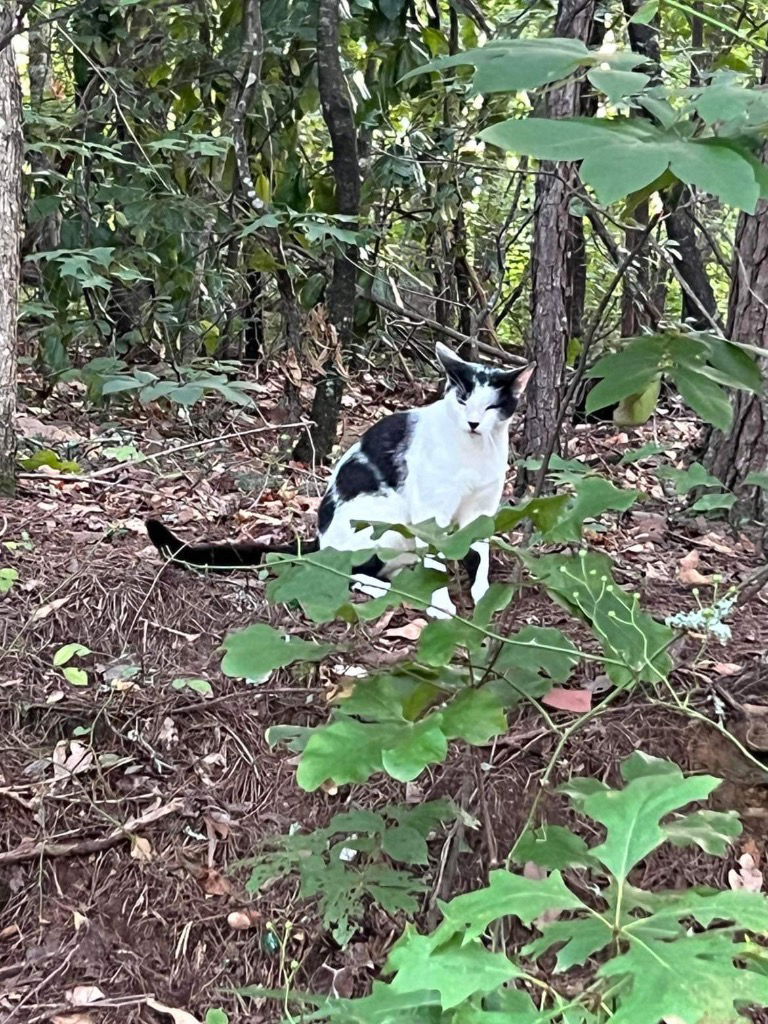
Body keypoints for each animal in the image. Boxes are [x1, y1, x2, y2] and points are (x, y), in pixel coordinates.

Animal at [145, 342, 536, 614]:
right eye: (463, 400)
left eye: (490, 407)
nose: (472, 422)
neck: (475, 452)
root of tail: (321, 540)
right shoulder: (430, 513)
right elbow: (436, 559)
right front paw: (442, 605)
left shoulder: (483, 509)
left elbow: (481, 552)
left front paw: (483, 594)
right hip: (383, 522)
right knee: (348, 570)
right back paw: (384, 586)